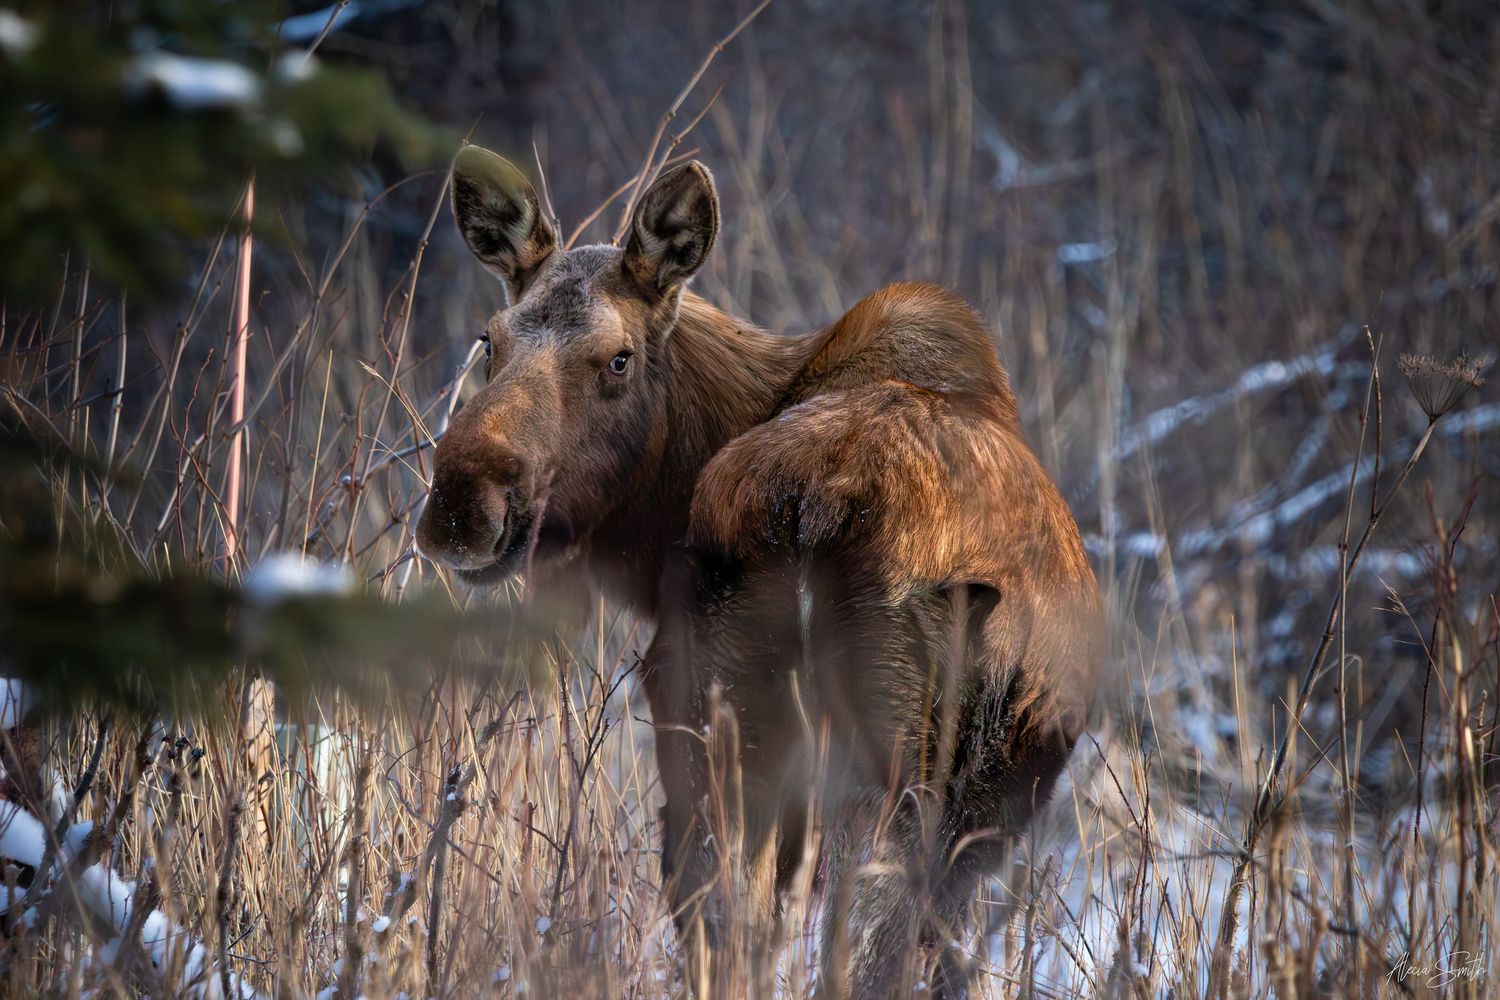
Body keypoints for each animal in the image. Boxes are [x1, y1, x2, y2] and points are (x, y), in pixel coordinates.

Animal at [416, 145, 1103, 998]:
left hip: (726, 732)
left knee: (729, 922)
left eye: (619, 357)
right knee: (854, 937)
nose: (462, 502)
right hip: (873, 774)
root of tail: (822, 500)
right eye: (491, 340)